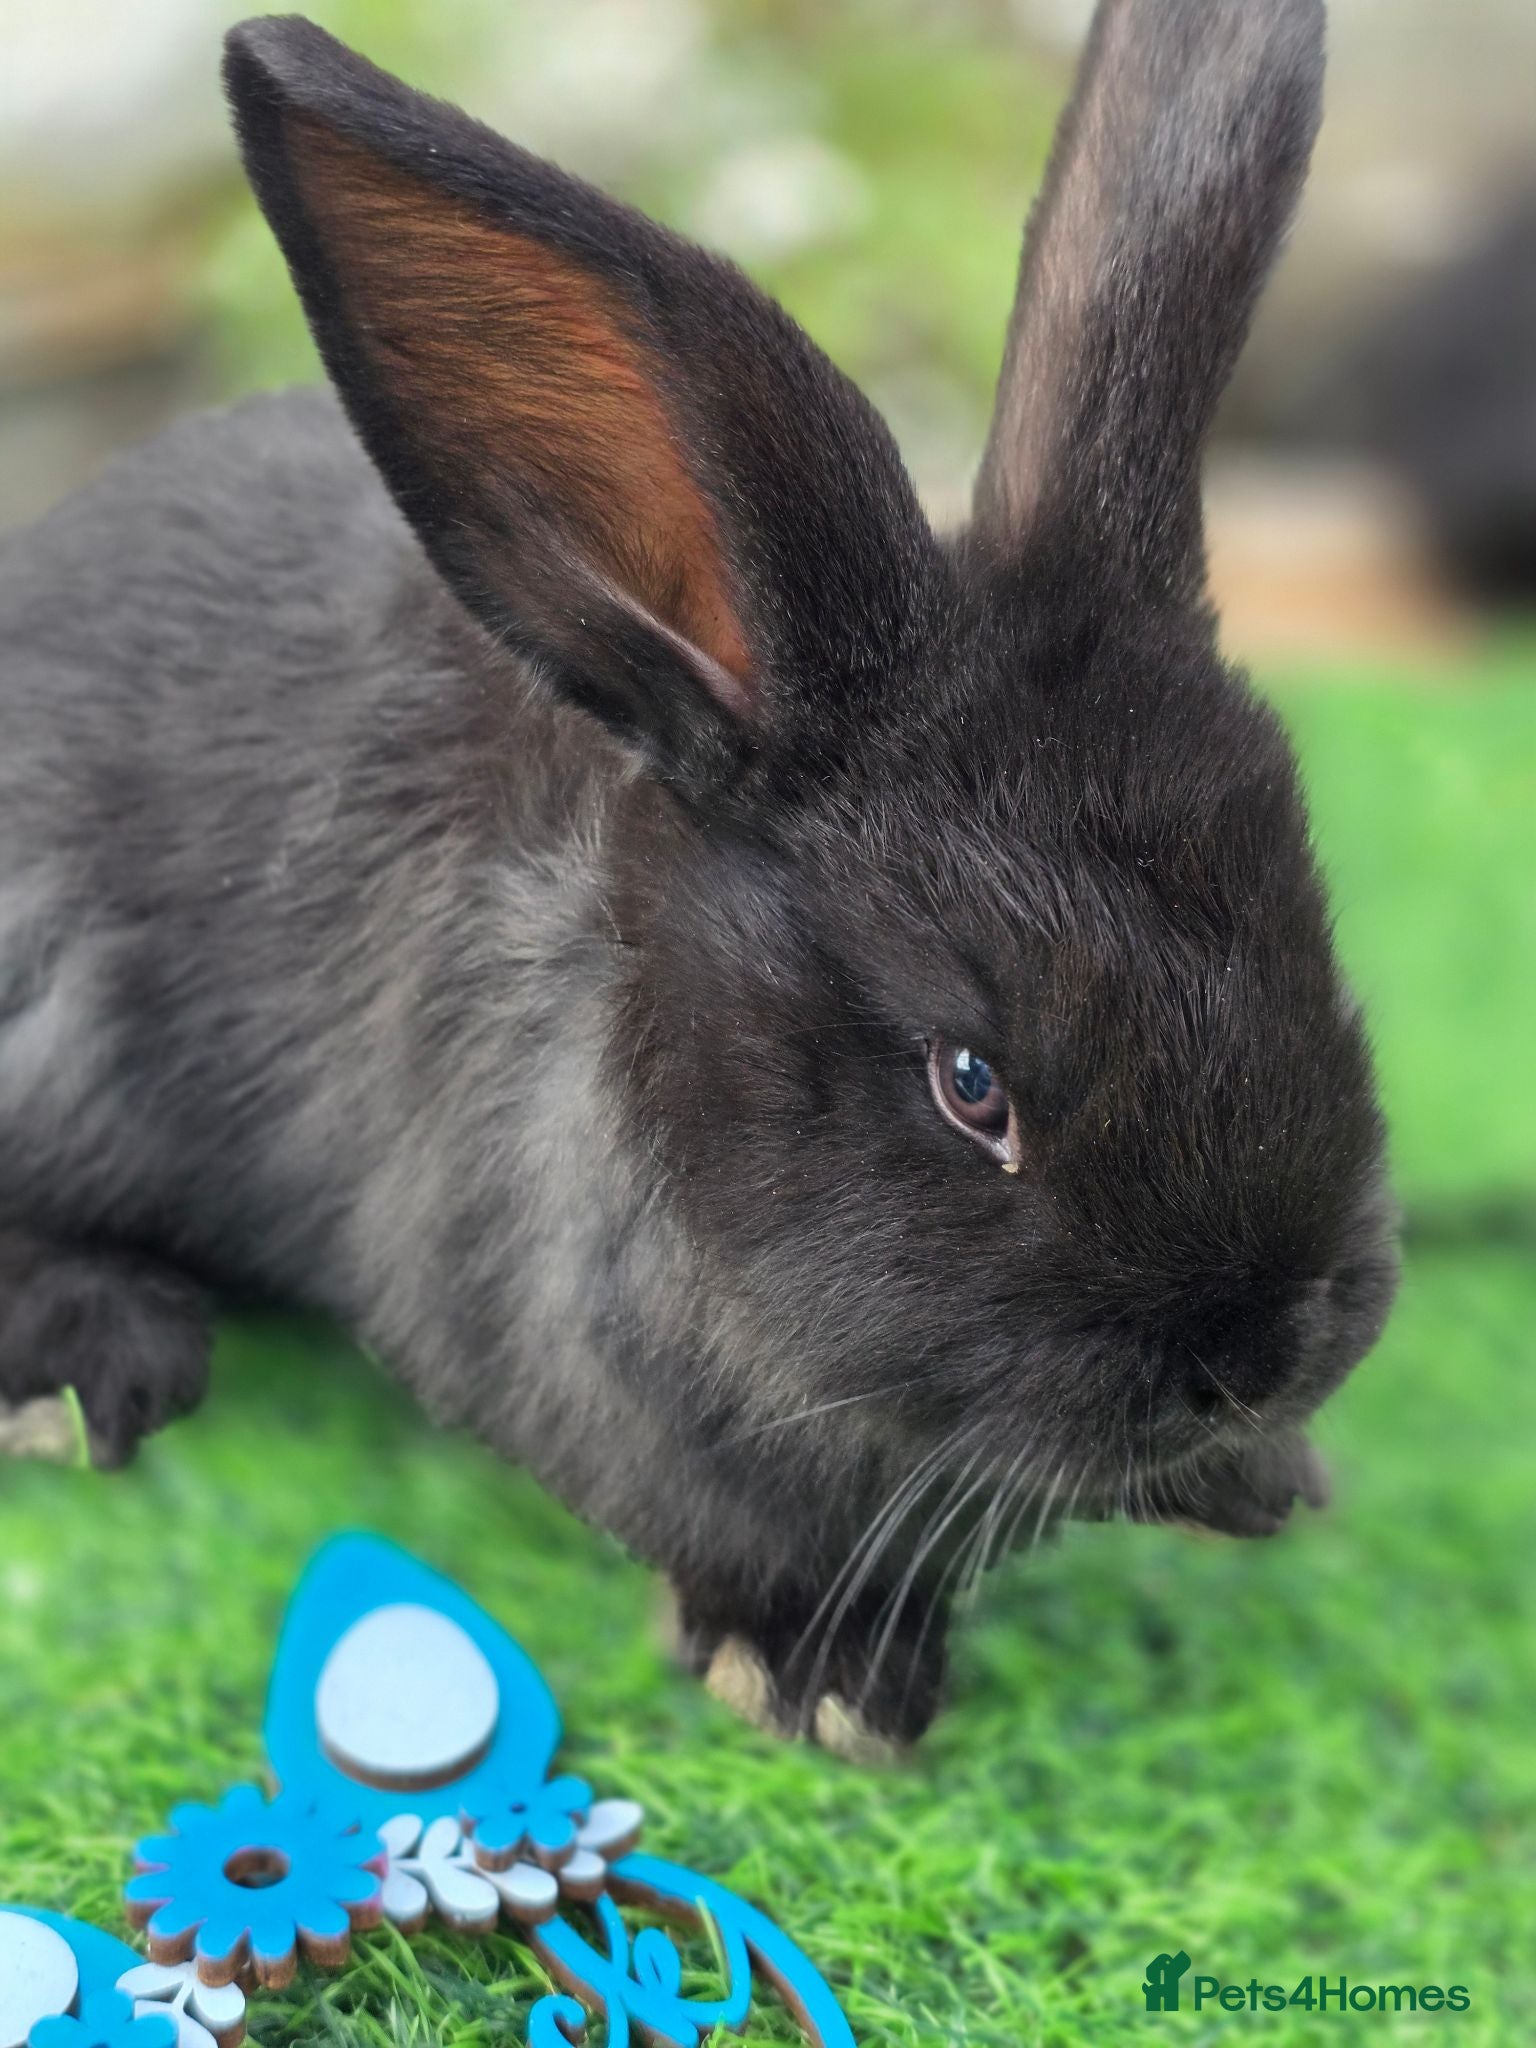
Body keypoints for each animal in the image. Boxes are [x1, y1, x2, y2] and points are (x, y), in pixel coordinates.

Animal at [0, 0, 1398, 1753]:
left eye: (1315, 944)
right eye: (971, 1083)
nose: (1259, 1355)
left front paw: (1267, 1485)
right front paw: (826, 1682)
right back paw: (92, 1368)